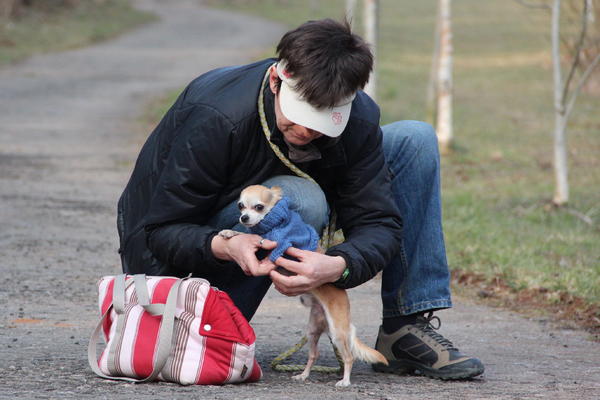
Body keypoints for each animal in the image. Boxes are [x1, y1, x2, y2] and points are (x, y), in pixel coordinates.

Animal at [218, 186, 386, 386]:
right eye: (240, 206)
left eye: (259, 207)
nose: (244, 218)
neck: (276, 221)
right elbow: (250, 234)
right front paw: (229, 232)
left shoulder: (281, 244)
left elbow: (254, 236)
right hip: (313, 331)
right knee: (314, 354)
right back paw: (303, 375)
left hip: (337, 333)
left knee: (349, 357)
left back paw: (344, 381)